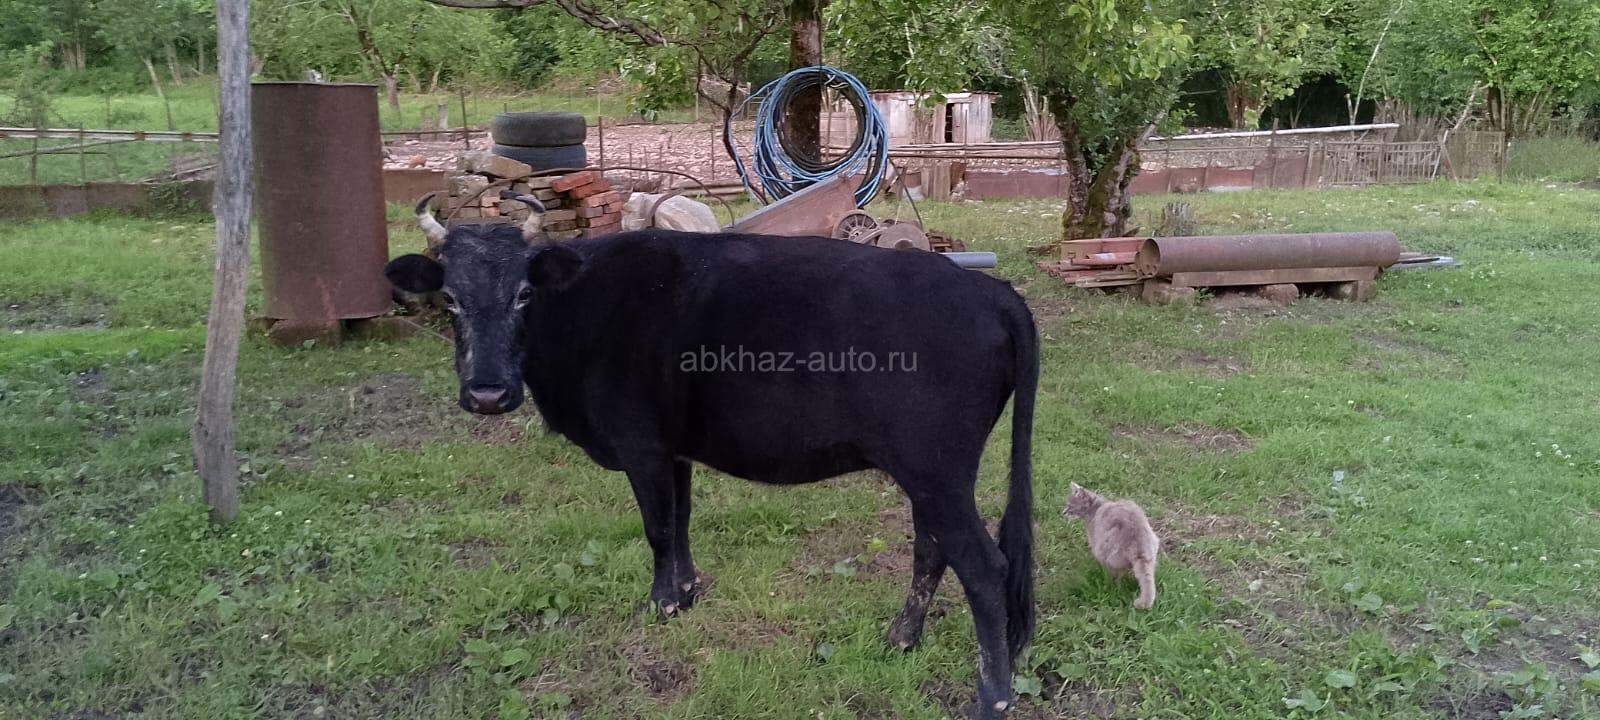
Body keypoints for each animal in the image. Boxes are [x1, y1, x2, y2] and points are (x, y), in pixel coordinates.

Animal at [385, 197, 1038, 718]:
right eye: (449, 298)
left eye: (524, 293)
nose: (487, 394)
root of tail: (992, 291)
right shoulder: (675, 449)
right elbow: (681, 518)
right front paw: (688, 588)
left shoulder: (640, 443)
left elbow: (655, 527)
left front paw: (663, 603)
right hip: (930, 475)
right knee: (932, 550)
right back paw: (901, 638)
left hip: (937, 471)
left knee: (984, 567)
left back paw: (993, 697)